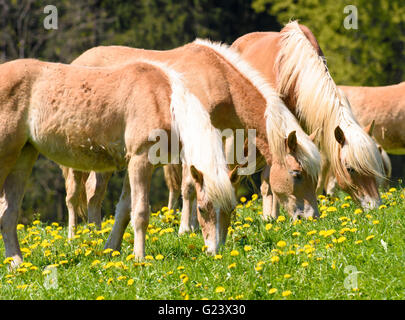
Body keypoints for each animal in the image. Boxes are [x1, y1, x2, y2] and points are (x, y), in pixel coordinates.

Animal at [0, 57, 237, 264]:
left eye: (231, 210)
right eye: (202, 210)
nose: (214, 253)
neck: (164, 100)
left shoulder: (134, 163)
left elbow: (123, 211)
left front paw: (111, 248)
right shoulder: (141, 160)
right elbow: (140, 212)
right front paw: (140, 258)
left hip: (24, 157)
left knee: (8, 213)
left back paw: (17, 263)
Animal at [63, 38, 322, 245]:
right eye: (297, 174)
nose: (311, 217)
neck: (218, 77)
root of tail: (76, 62)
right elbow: (188, 186)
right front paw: (186, 229)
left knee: (94, 192)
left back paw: (97, 234)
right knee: (75, 194)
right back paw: (75, 236)